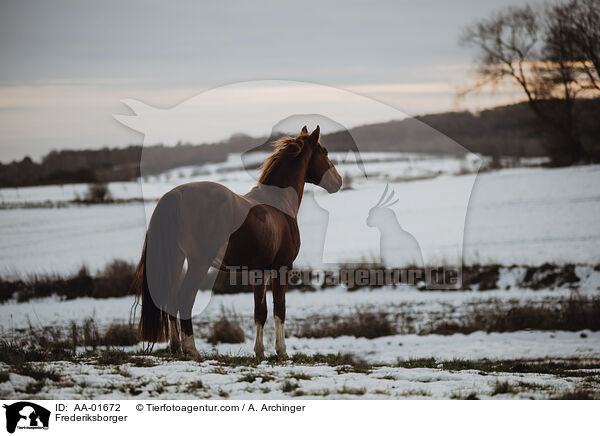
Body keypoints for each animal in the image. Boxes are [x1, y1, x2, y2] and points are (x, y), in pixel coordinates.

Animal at [134, 125, 344, 358]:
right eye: (324, 152)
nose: (338, 181)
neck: (278, 203)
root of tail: (176, 195)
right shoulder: (282, 268)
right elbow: (279, 310)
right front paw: (281, 352)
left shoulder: (259, 272)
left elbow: (260, 312)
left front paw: (260, 353)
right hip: (198, 263)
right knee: (185, 299)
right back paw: (192, 350)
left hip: (177, 259)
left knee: (170, 299)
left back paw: (176, 348)